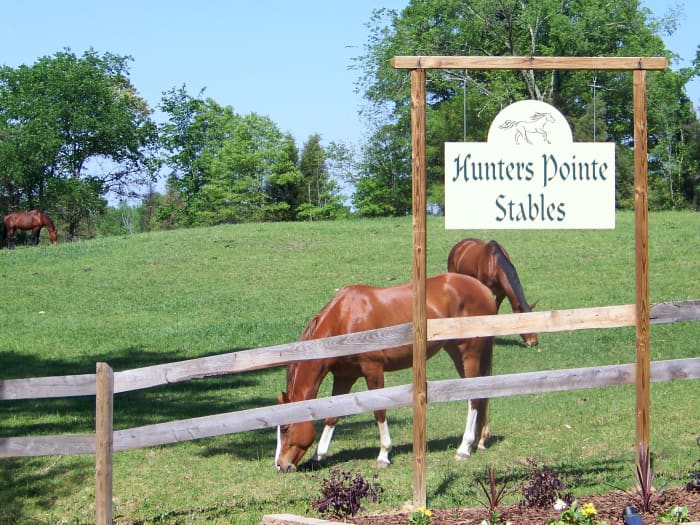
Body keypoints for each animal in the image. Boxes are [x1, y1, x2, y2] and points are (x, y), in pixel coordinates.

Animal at [274, 272, 498, 472]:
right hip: (457, 353)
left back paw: (464, 448)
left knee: (474, 398)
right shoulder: (344, 376)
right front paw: (318, 456)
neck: (344, 318)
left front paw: (383, 454)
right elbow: (333, 414)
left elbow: (379, 410)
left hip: (469, 353)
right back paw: (478, 441)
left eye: (285, 428)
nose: (280, 465)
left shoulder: (373, 369)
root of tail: (483, 289)